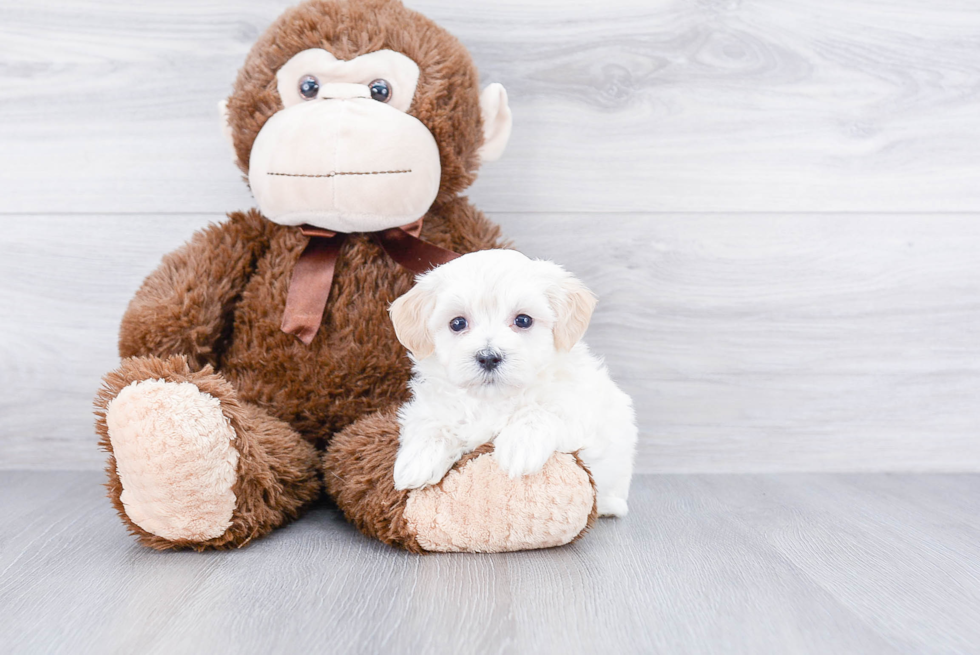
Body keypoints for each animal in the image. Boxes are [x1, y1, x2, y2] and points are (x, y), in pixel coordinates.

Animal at [386, 249, 640, 516]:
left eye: (523, 320)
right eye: (457, 323)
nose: (488, 357)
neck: (493, 400)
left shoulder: (579, 409)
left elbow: (541, 411)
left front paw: (521, 444)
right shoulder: (430, 406)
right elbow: (431, 424)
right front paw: (417, 459)